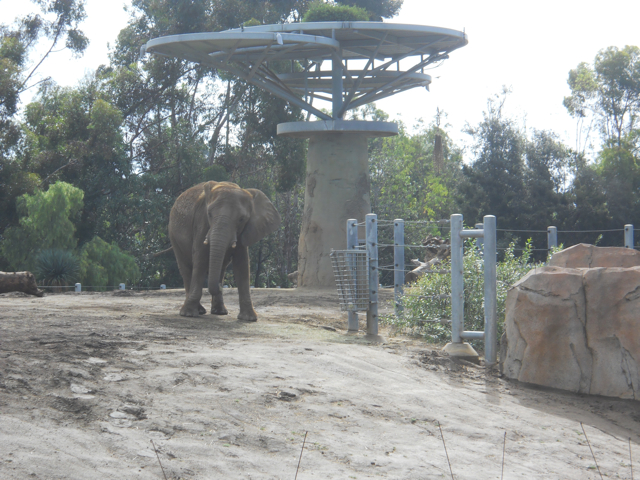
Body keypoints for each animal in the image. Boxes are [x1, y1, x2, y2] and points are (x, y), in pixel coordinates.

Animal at [168, 181, 281, 320]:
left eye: (241, 219)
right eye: (209, 214)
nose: (221, 287)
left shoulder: (245, 230)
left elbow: (242, 264)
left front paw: (249, 319)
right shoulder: (201, 222)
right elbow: (200, 259)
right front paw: (188, 314)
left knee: (221, 268)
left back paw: (220, 311)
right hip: (173, 235)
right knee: (186, 267)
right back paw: (198, 311)